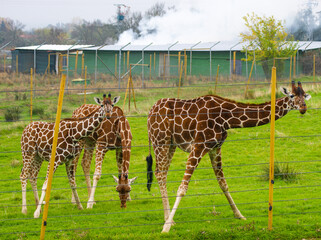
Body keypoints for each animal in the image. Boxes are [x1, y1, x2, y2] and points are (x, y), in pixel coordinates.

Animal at [146, 81, 310, 232]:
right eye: (292, 95)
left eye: (304, 96)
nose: (303, 108)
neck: (226, 118)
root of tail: (149, 114)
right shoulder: (199, 146)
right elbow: (182, 188)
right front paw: (166, 228)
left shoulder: (215, 148)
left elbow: (223, 183)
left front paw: (239, 215)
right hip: (161, 141)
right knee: (160, 174)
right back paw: (168, 220)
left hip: (170, 144)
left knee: (162, 173)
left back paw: (168, 218)